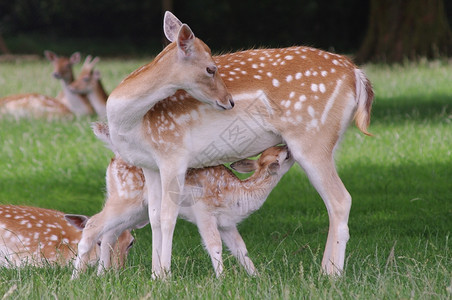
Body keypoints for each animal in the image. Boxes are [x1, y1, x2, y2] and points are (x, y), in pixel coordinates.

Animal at [71, 122, 294, 278]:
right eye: (281, 154)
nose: (288, 147)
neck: (238, 195)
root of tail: (114, 158)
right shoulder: (204, 211)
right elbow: (215, 245)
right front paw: (222, 279)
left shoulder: (227, 223)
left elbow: (241, 249)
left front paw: (257, 277)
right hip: (126, 197)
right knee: (93, 224)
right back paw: (76, 278)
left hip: (136, 210)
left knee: (109, 233)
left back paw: (102, 275)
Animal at [107, 11, 374, 278]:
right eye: (210, 68)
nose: (229, 101)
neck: (134, 124)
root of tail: (356, 74)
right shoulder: (149, 164)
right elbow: (154, 218)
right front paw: (155, 275)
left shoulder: (174, 154)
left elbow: (167, 216)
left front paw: (165, 276)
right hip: (329, 143)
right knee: (332, 202)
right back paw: (324, 271)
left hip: (311, 139)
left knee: (340, 199)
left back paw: (332, 275)